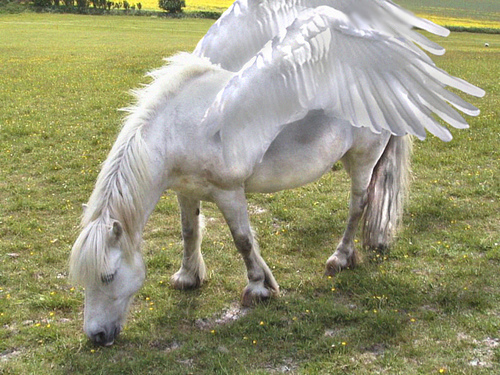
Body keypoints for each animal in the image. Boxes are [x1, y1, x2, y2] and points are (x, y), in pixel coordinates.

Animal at [68, 0, 482, 346]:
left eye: (107, 276)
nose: (96, 336)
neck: (177, 126)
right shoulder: (186, 190)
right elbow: (190, 232)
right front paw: (190, 277)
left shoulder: (229, 191)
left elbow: (242, 240)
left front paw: (258, 288)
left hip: (362, 159)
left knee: (358, 205)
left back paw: (341, 257)